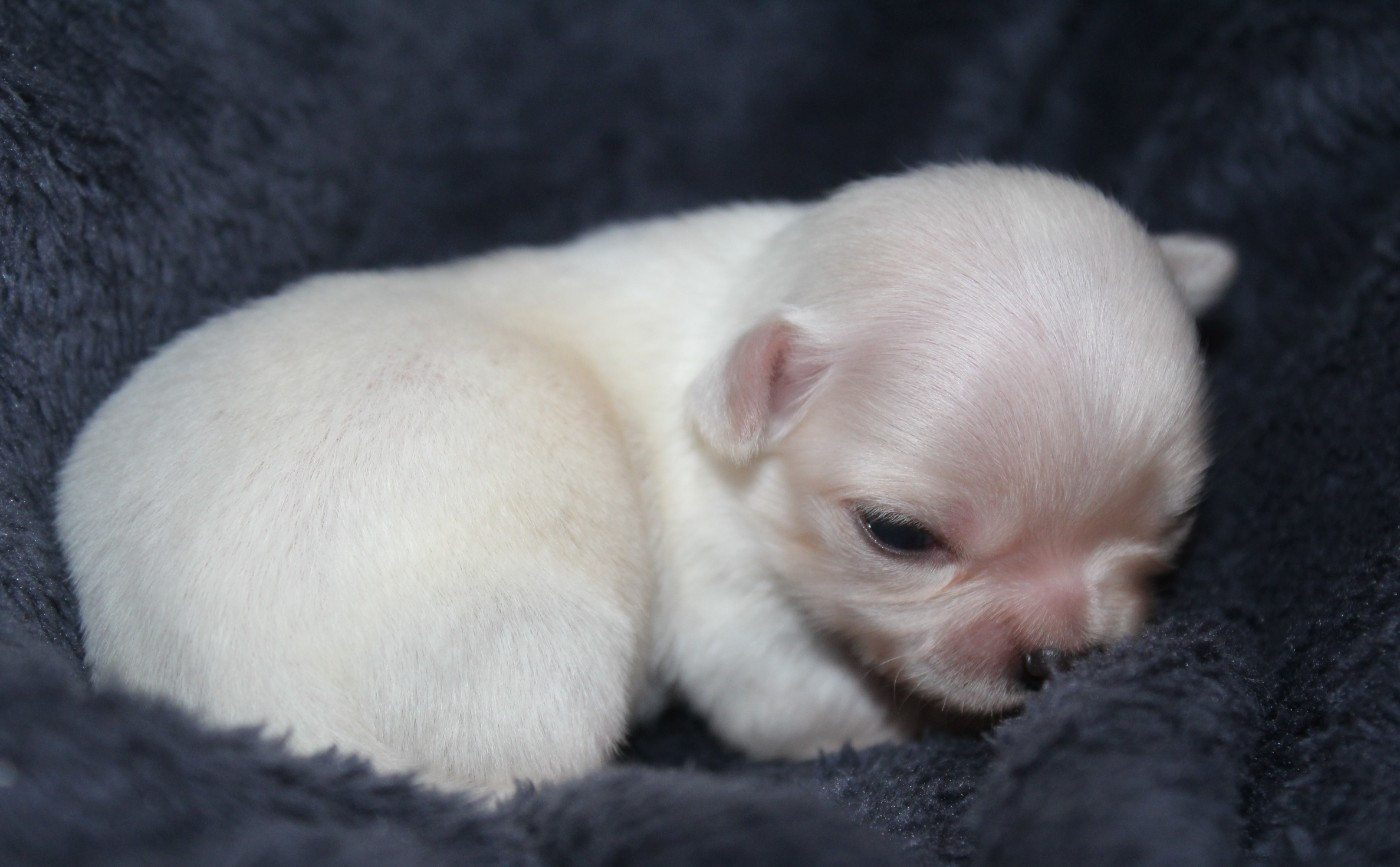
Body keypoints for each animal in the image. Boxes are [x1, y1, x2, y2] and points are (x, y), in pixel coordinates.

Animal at [56, 163, 1235, 796]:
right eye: (898, 535)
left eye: (1178, 518)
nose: (1058, 660)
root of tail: (245, 714)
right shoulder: (730, 604)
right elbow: (791, 701)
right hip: (536, 642)